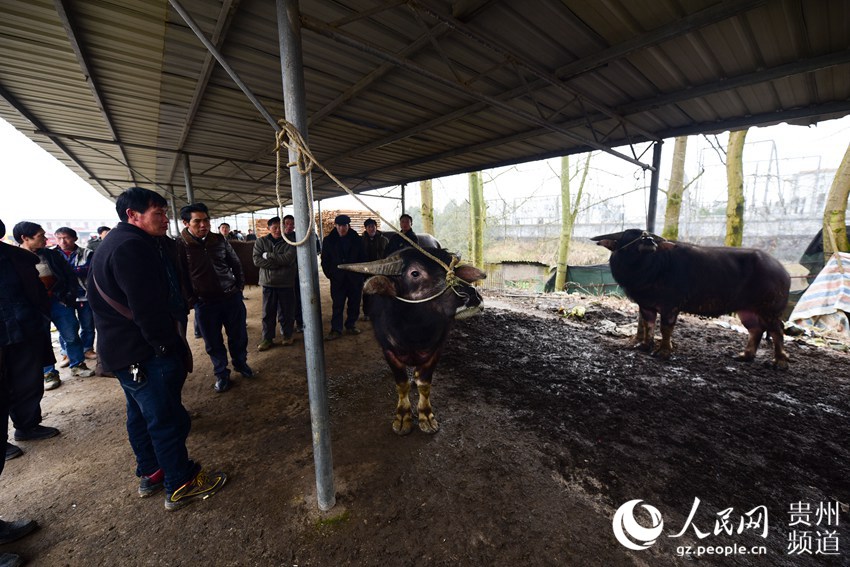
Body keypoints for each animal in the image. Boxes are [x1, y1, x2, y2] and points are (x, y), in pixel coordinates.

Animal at [338, 247, 484, 434]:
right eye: (415, 273)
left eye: (453, 269)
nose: (472, 296)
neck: (414, 332)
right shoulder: (388, 351)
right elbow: (402, 384)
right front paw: (402, 417)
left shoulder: (437, 349)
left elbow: (424, 383)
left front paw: (426, 416)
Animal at [588, 229, 788, 370]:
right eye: (630, 236)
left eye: (648, 235)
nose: (649, 240)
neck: (648, 270)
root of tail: (782, 270)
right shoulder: (646, 305)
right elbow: (648, 325)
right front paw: (644, 345)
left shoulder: (670, 306)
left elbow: (665, 328)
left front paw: (664, 351)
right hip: (747, 310)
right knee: (756, 329)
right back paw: (745, 356)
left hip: (769, 309)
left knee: (777, 330)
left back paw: (779, 362)